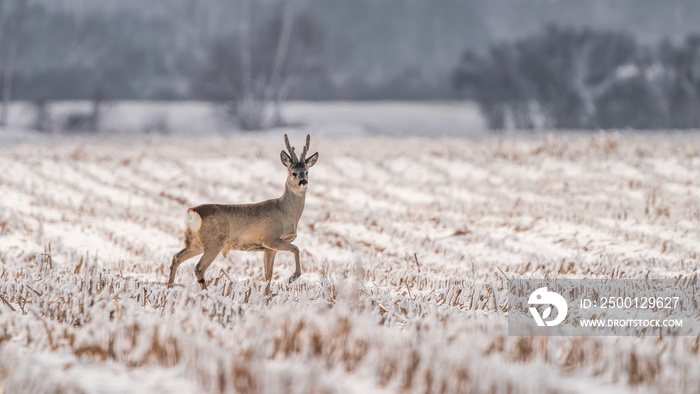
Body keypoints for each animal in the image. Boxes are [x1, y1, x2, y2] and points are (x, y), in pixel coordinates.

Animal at [167, 134, 320, 294]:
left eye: (307, 172)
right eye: (293, 173)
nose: (303, 181)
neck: (285, 211)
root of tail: (192, 212)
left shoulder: (269, 248)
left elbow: (268, 275)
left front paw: (266, 296)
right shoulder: (271, 238)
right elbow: (296, 248)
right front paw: (292, 277)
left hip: (195, 242)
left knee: (176, 258)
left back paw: (169, 288)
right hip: (214, 242)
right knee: (199, 268)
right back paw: (206, 293)